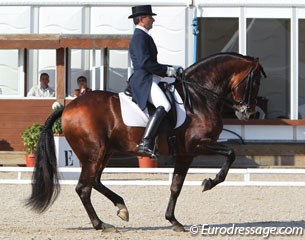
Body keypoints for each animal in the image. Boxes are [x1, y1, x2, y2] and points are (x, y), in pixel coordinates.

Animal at [26, 52, 264, 232]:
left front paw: (173, 221)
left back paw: (121, 207)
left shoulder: (185, 153)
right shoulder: (197, 145)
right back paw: (101, 224)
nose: (248, 112)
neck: (199, 97)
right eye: (255, 81)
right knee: (84, 188)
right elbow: (231, 154)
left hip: (105, 153)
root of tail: (68, 107)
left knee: (94, 182)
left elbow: (176, 186)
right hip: (94, 154)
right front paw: (209, 182)